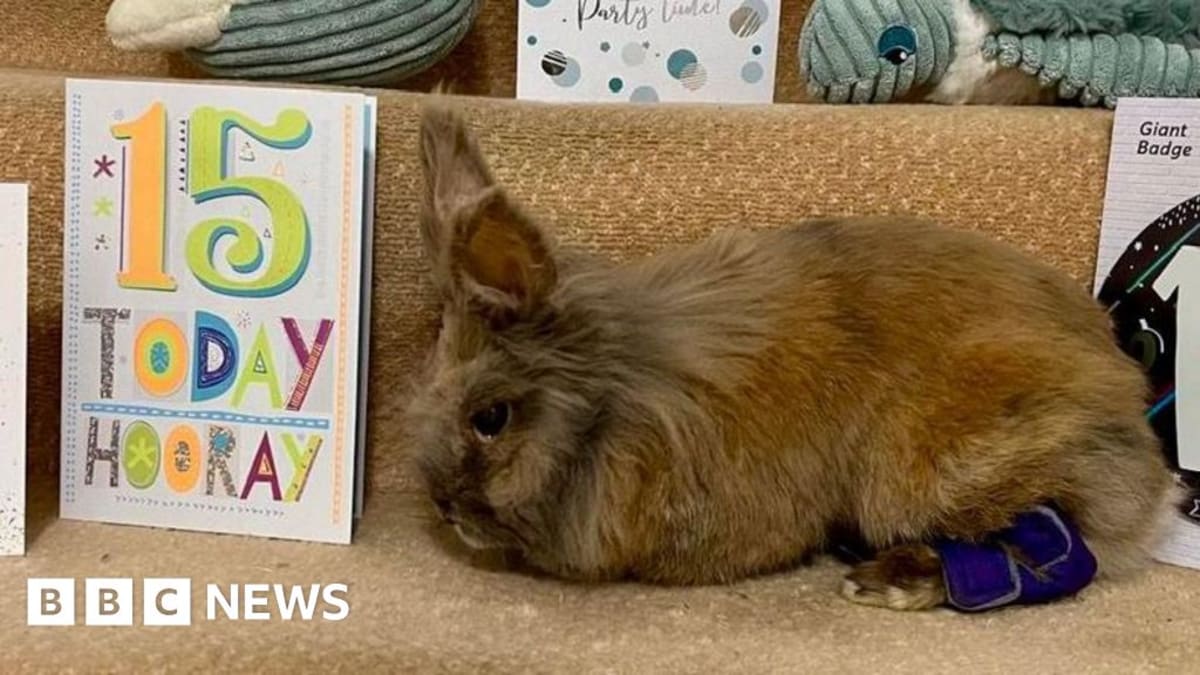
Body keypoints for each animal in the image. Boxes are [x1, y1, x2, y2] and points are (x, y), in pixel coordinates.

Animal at [402, 102, 1174, 611]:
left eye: (491, 418)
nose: (444, 509)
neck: (615, 397)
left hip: (939, 462)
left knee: (1057, 539)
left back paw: (890, 579)